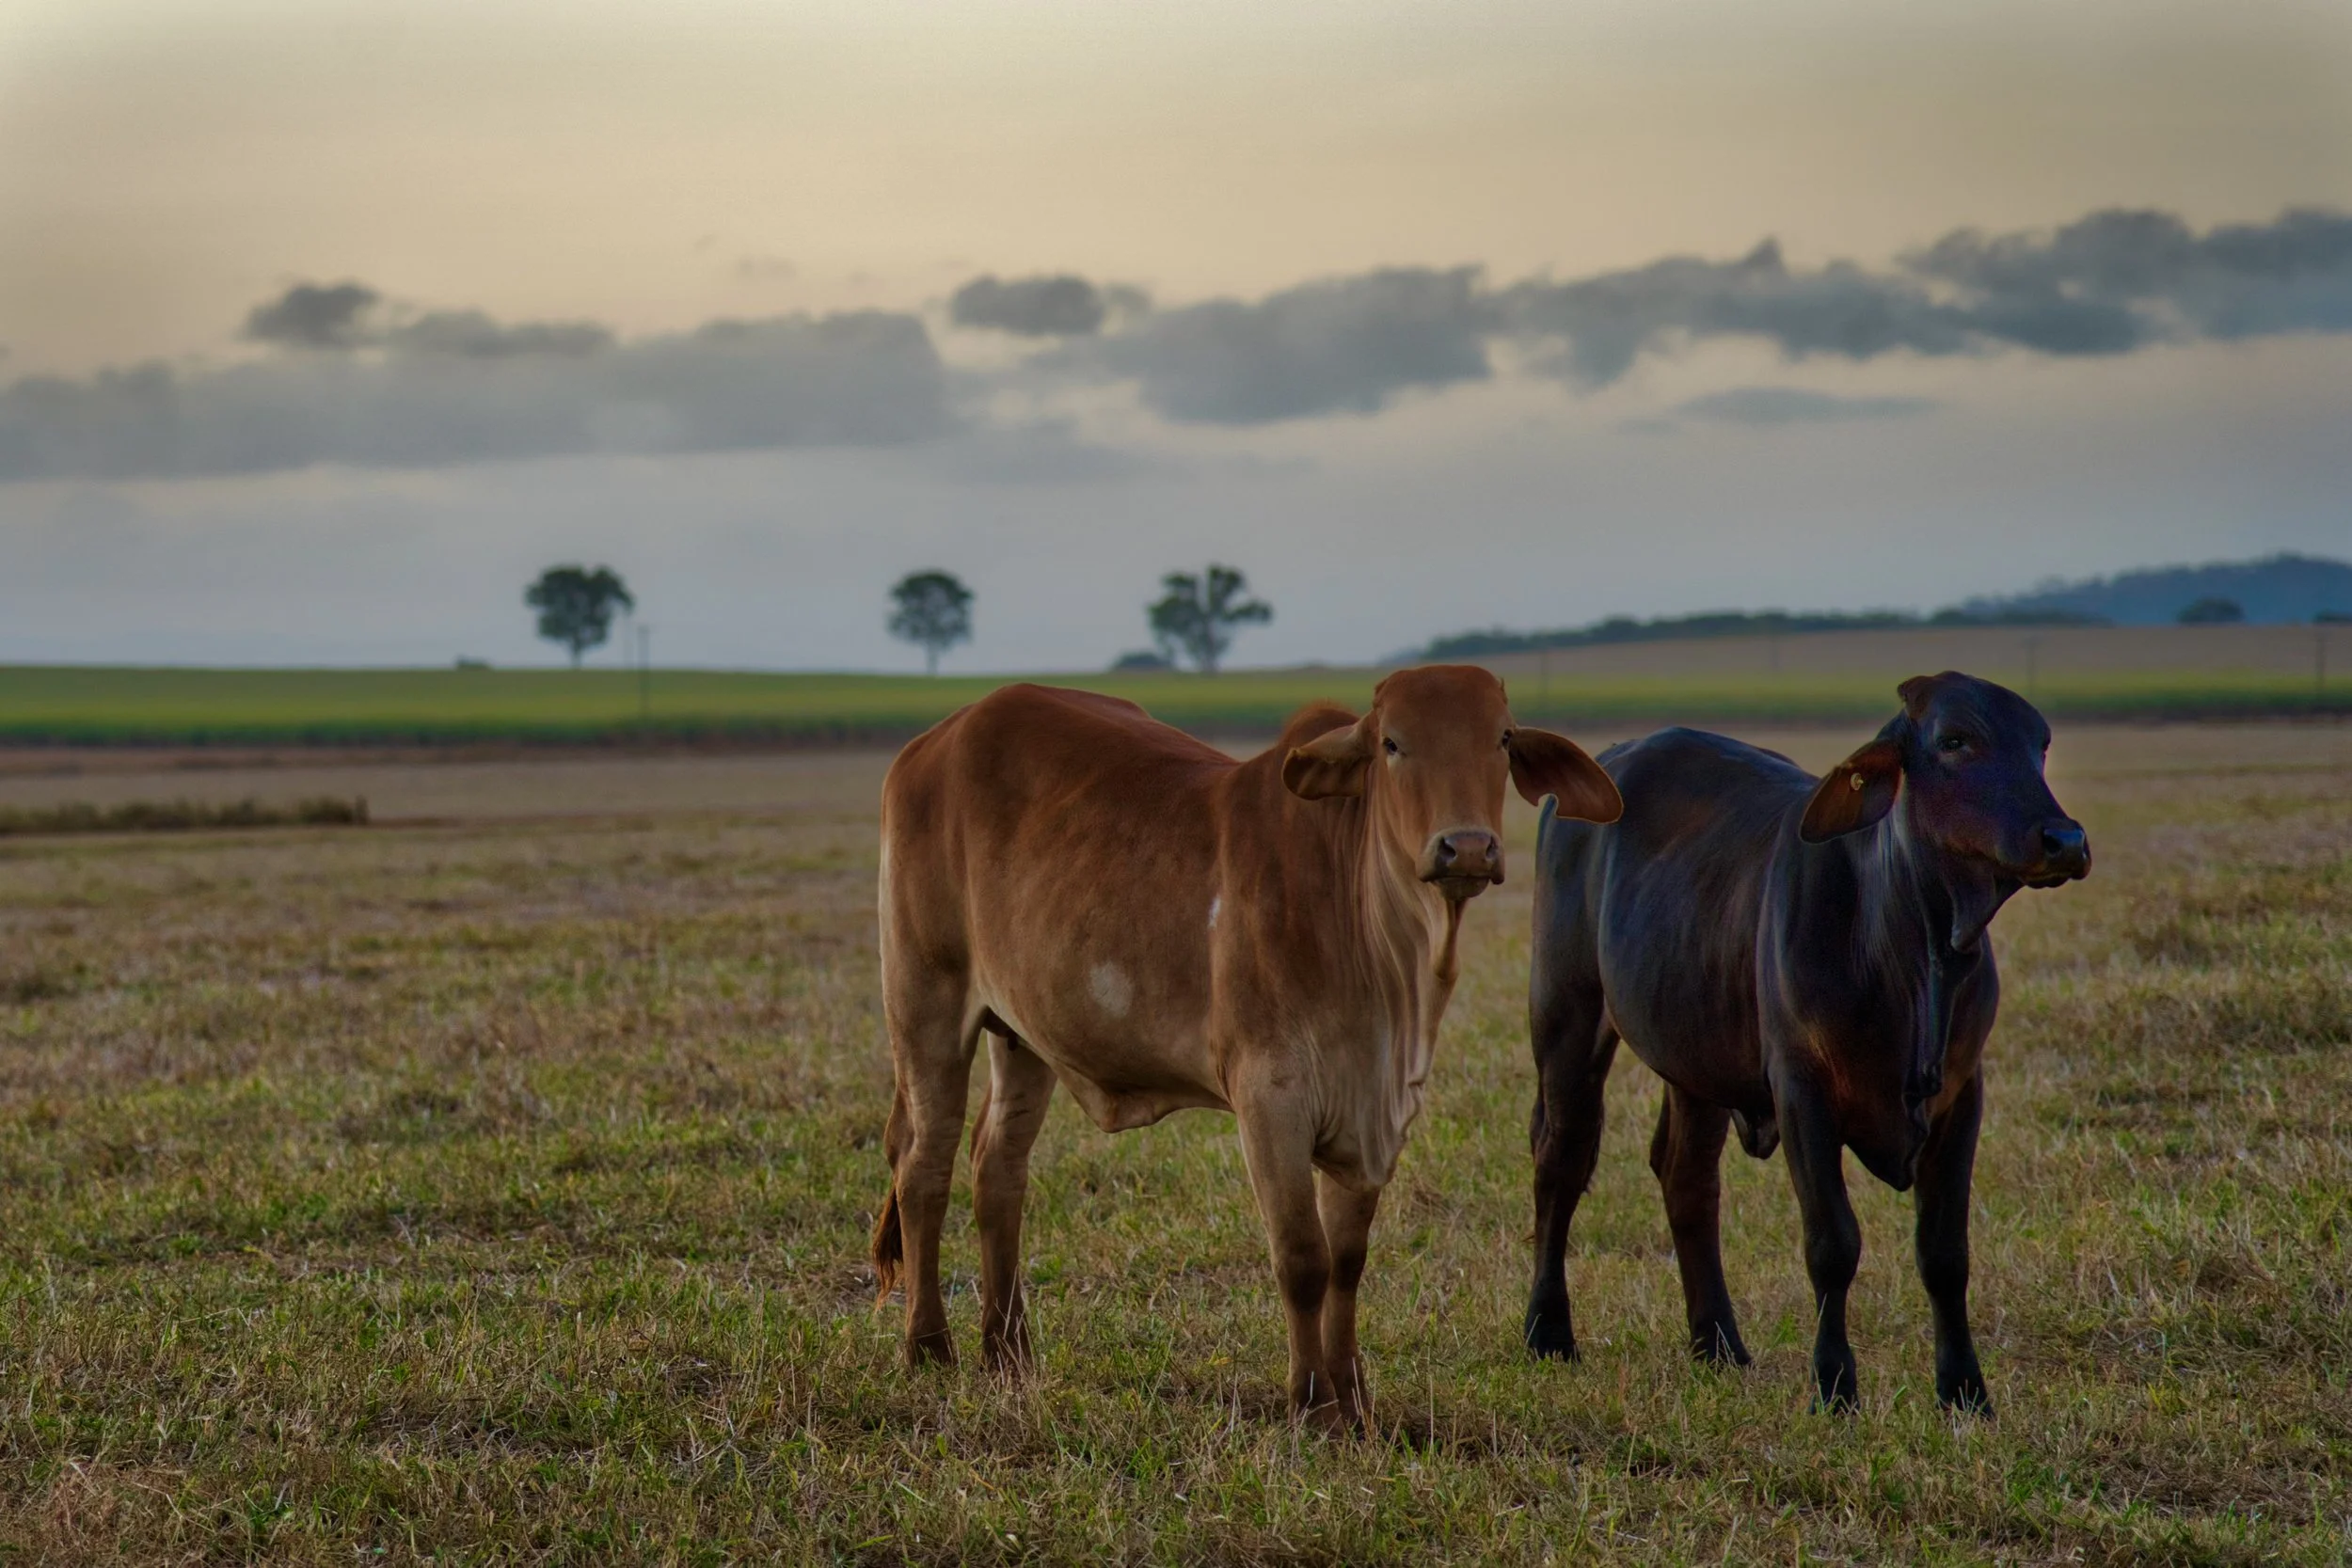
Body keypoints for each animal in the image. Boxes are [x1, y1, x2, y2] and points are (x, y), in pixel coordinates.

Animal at [870, 666, 1623, 1431]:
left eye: (1501, 737)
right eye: (1391, 743)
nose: (1466, 847)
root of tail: (936, 741)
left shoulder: (1375, 1118)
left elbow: (1348, 1259)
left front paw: (1355, 1401)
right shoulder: (1270, 1099)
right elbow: (1303, 1257)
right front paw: (1312, 1402)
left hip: (1022, 1034)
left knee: (998, 1168)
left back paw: (1009, 1353)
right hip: (926, 1003)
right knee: (925, 1164)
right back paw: (929, 1346)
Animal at [1522, 672, 2090, 1413]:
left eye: (2041, 744)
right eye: (1954, 740)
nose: (2065, 839)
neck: (1912, 946)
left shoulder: (1963, 1094)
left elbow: (1945, 1252)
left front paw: (1964, 1389)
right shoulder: (1801, 1090)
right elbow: (1832, 1243)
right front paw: (1834, 1384)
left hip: (1696, 1056)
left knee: (1686, 1177)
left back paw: (1718, 1343)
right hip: (1566, 1016)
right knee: (1561, 1158)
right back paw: (1548, 1331)